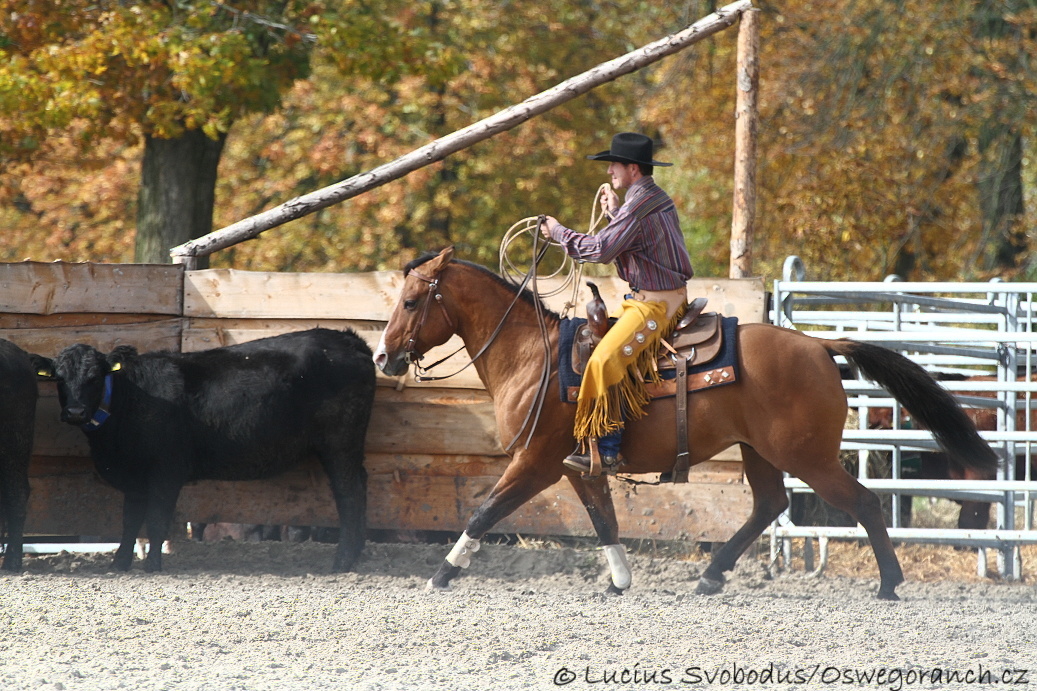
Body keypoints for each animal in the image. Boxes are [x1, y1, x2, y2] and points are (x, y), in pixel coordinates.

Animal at [373, 247, 995, 597]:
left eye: (411, 302)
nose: (383, 357)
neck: (534, 355)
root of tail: (819, 345)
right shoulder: (577, 466)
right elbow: (605, 522)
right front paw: (620, 582)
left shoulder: (536, 462)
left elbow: (484, 511)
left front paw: (443, 573)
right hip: (761, 452)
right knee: (769, 505)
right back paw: (712, 574)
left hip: (807, 457)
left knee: (862, 501)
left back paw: (889, 584)